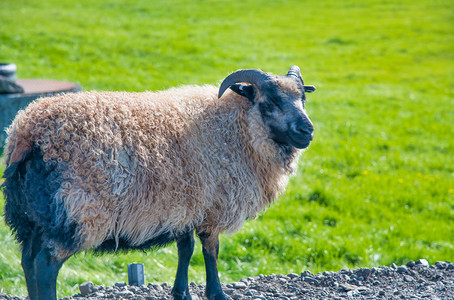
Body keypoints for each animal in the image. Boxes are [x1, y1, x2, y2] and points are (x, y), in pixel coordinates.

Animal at [0, 65, 316, 300]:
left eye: (303, 98)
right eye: (270, 101)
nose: (308, 131)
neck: (236, 126)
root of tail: (26, 133)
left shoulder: (185, 205)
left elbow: (186, 249)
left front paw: (181, 292)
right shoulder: (212, 206)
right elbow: (210, 251)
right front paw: (216, 293)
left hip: (31, 216)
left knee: (28, 260)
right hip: (77, 212)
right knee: (45, 265)